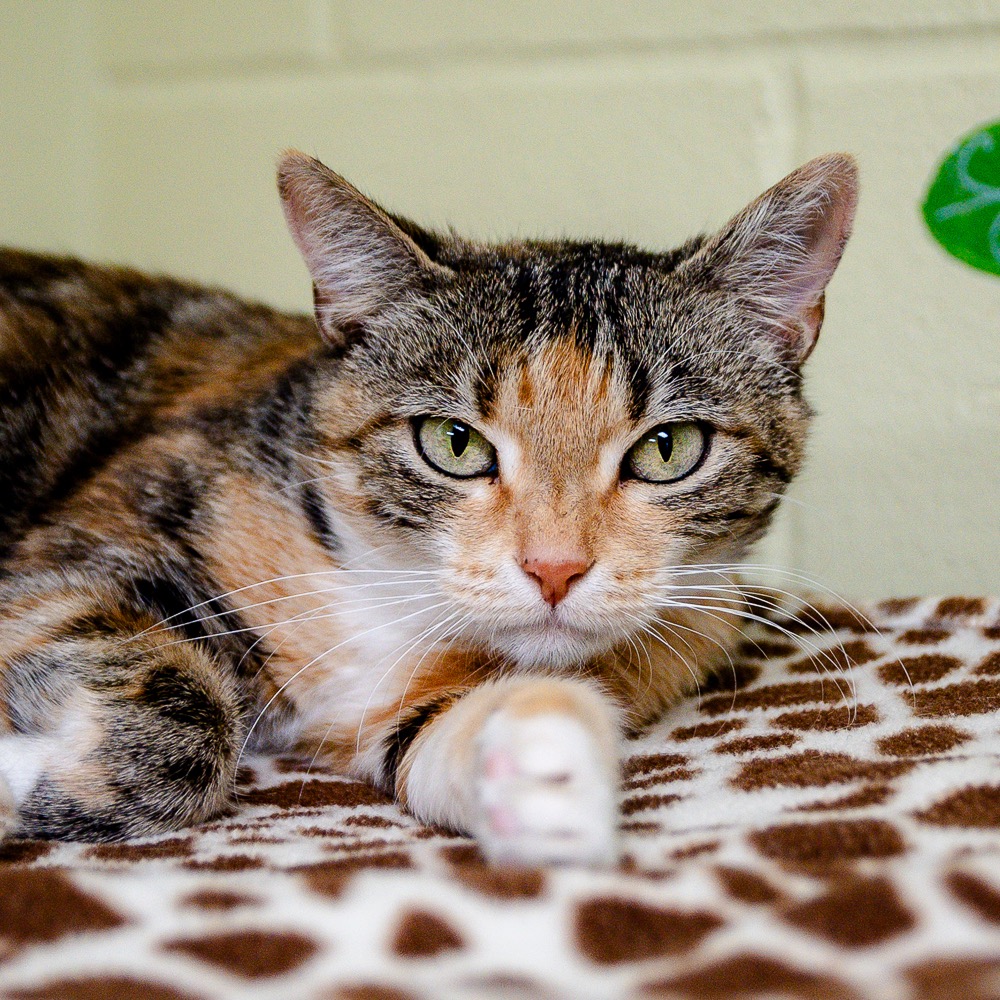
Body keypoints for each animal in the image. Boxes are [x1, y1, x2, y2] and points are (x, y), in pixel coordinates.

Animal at [0, 151, 856, 864]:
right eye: (453, 441)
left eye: (668, 448)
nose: (554, 568)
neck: (387, 595)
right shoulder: (114, 525)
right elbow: (173, 711)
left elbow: (428, 734)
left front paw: (544, 770)